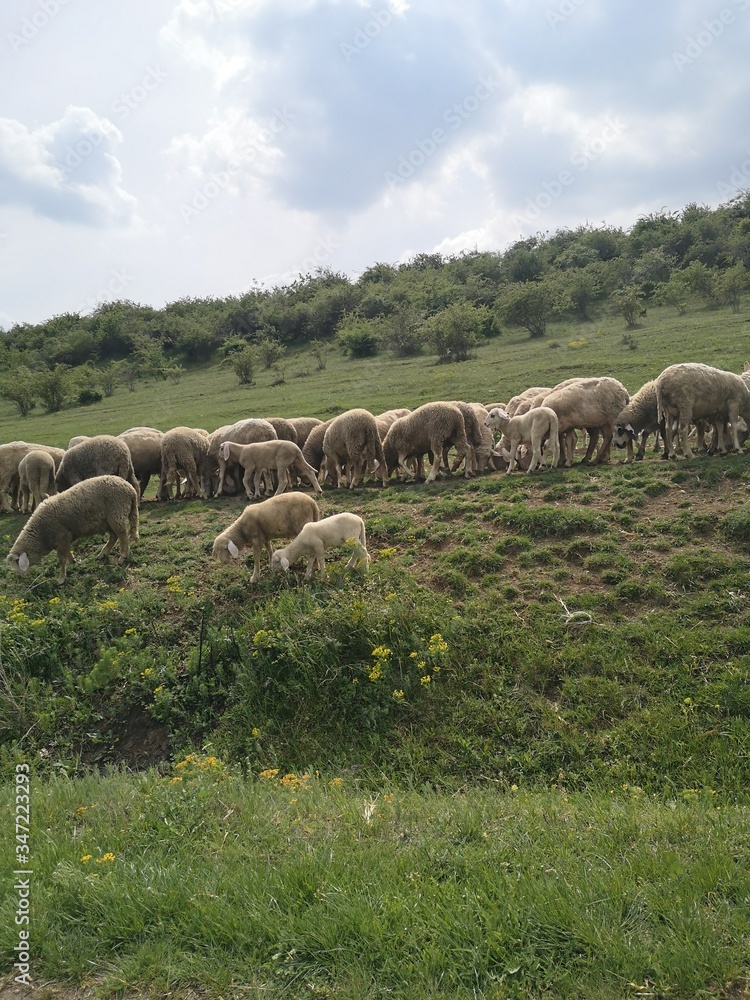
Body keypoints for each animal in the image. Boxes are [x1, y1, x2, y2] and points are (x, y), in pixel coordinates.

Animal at [6, 475, 139, 584]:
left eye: (17, 562)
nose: (19, 577)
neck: (40, 533)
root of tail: (130, 489)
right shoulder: (62, 539)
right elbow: (67, 552)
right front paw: (72, 561)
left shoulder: (61, 536)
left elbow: (61, 559)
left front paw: (61, 578)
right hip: (106, 520)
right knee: (114, 536)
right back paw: (103, 554)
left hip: (116, 513)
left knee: (122, 535)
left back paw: (123, 556)